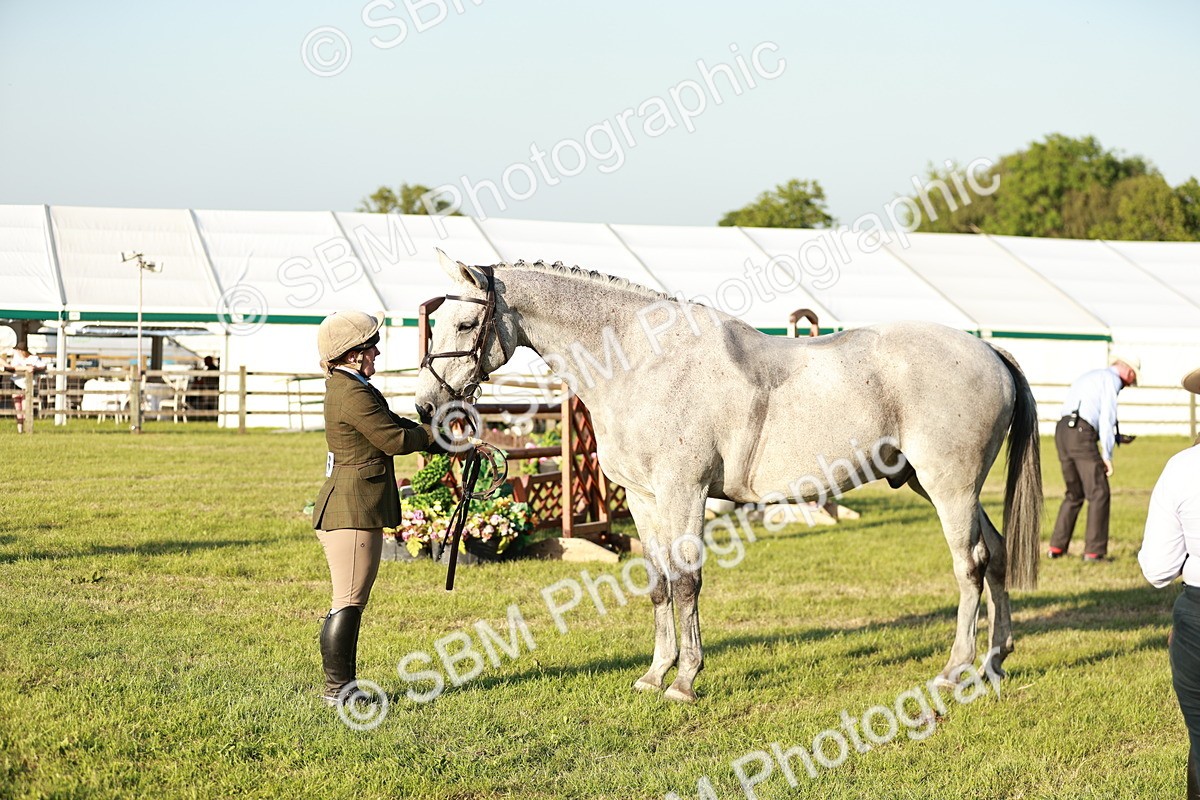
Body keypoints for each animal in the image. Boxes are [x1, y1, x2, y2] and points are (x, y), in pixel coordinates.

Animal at [416, 250, 1042, 703]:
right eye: (436, 322)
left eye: (466, 322)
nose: (427, 407)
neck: (645, 361)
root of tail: (990, 352)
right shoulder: (643, 498)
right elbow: (658, 582)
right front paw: (654, 674)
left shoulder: (685, 491)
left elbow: (687, 581)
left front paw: (685, 681)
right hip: (940, 487)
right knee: (996, 554)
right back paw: (994, 661)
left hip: (949, 487)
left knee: (969, 566)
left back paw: (954, 670)